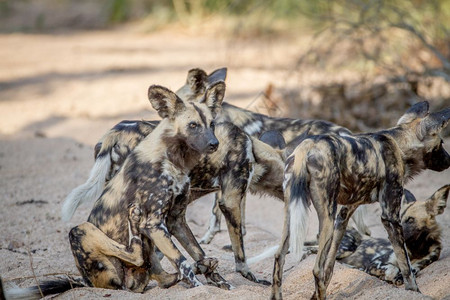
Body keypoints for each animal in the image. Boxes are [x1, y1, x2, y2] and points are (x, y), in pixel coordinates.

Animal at [270, 101, 450, 300]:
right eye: (442, 143)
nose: (449, 160)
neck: (400, 145)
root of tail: (307, 144)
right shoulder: (391, 218)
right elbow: (406, 265)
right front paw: (414, 292)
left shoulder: (344, 214)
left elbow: (330, 267)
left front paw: (316, 294)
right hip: (327, 217)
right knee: (316, 268)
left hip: (293, 213)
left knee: (279, 256)